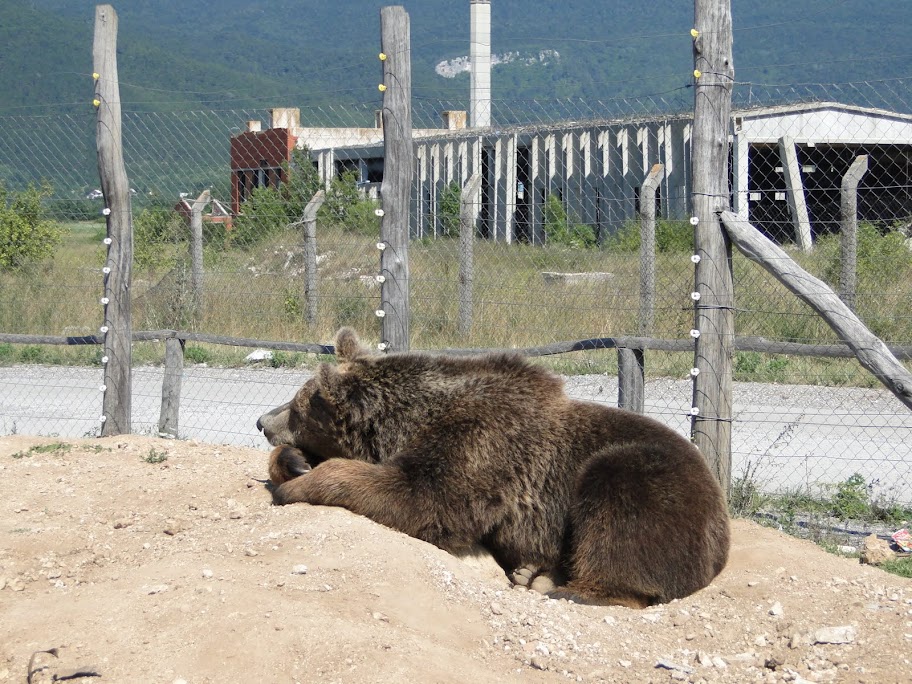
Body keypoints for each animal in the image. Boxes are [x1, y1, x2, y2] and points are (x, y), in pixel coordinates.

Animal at [256, 328, 728, 608]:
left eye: (298, 405)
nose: (262, 421)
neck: (410, 419)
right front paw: (293, 464)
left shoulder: (483, 442)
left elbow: (426, 498)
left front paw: (299, 485)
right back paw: (531, 571)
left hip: (650, 481)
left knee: (618, 513)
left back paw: (558, 586)